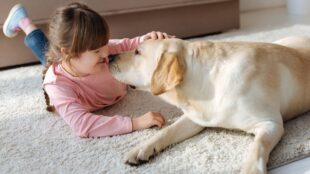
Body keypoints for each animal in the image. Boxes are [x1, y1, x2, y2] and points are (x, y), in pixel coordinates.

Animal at [108, 36, 310, 173]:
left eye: (137, 52)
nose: (110, 56)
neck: (208, 82)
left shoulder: (270, 123)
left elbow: (258, 145)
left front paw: (251, 169)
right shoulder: (196, 117)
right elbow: (167, 131)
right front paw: (142, 148)